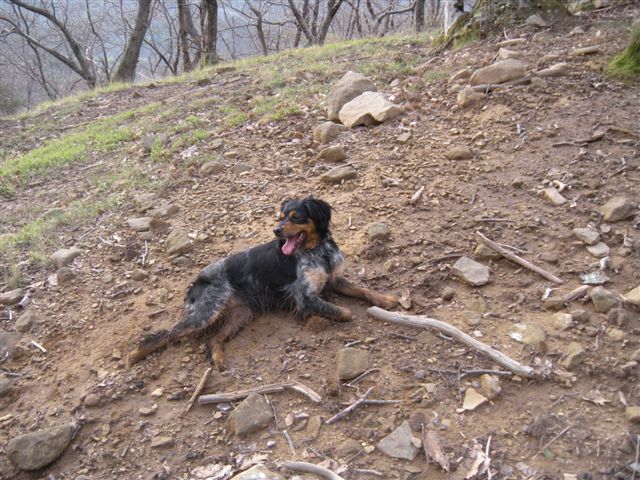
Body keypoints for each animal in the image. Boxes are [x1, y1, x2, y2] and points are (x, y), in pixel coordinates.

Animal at [127, 197, 397, 370]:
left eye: (296, 217)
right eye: (280, 217)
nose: (276, 230)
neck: (316, 251)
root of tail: (196, 281)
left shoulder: (334, 280)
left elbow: (362, 290)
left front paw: (386, 299)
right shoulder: (305, 297)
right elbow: (344, 312)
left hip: (241, 314)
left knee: (213, 339)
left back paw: (219, 359)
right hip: (206, 312)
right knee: (161, 335)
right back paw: (134, 355)